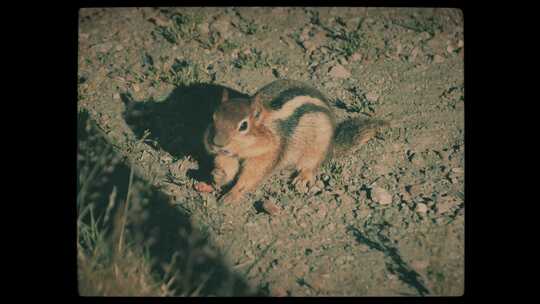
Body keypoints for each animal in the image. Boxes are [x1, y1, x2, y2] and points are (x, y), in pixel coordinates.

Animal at [204, 79, 388, 205]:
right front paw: (217, 175)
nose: (217, 143)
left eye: (243, 125)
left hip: (316, 150)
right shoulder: (227, 155)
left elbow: (251, 177)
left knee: (311, 166)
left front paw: (232, 195)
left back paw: (302, 177)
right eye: (213, 117)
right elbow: (227, 167)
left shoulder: (269, 155)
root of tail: (331, 147)